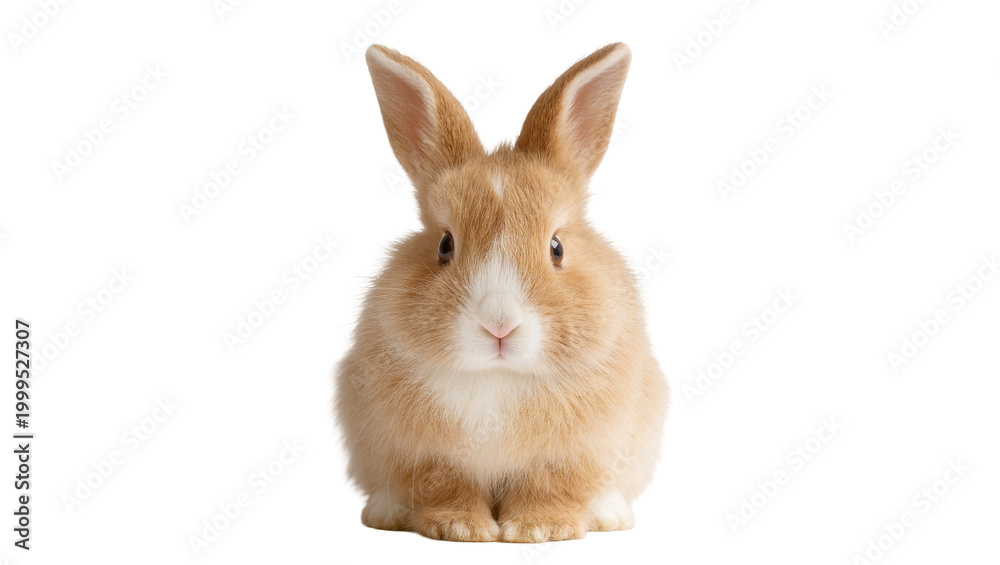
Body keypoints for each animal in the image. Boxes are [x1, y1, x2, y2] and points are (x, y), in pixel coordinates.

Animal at [335, 42, 668, 543]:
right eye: (445, 245)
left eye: (557, 248)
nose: (499, 323)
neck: (498, 377)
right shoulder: (428, 456)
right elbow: (444, 486)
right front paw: (460, 528)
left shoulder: (572, 454)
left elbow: (552, 487)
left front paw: (539, 530)